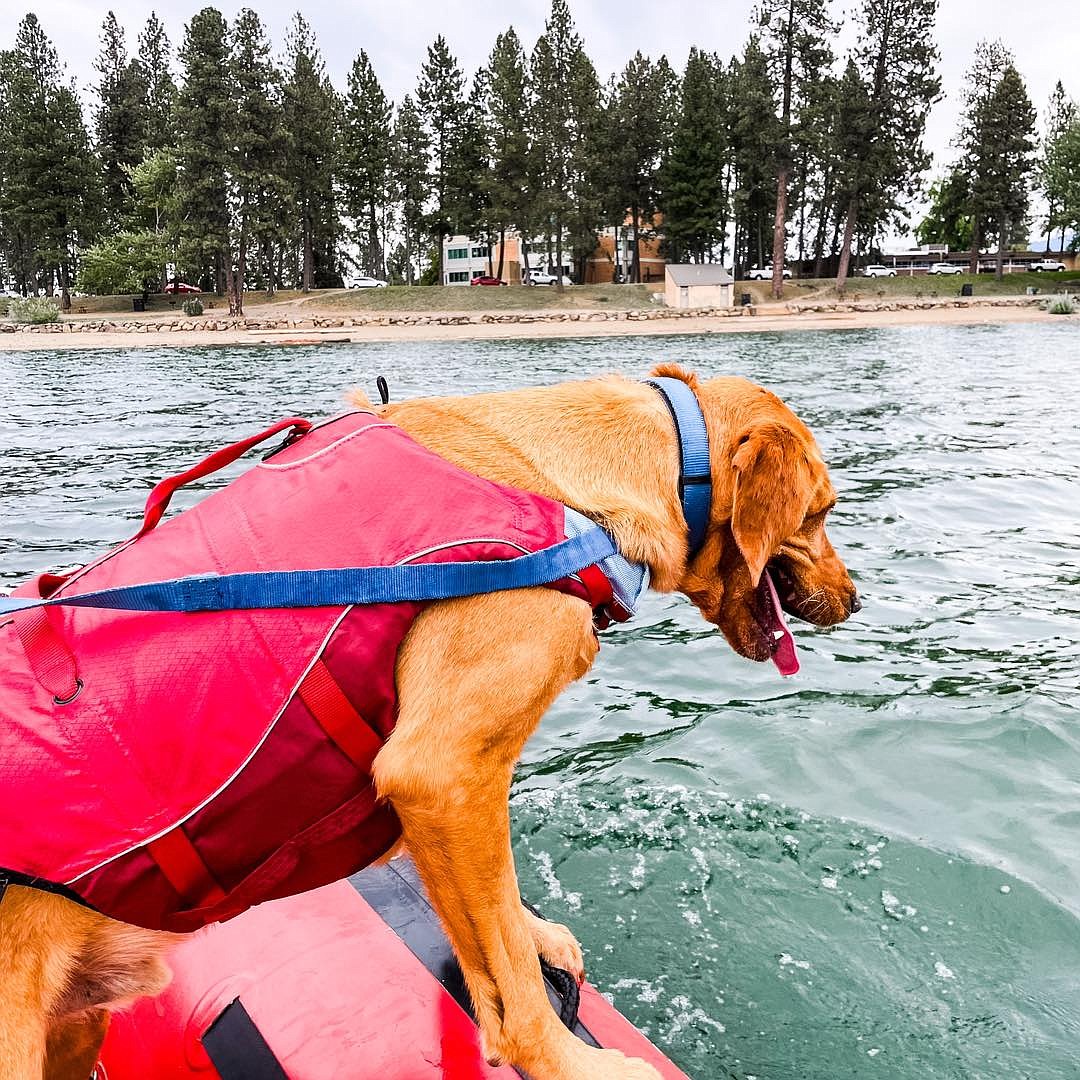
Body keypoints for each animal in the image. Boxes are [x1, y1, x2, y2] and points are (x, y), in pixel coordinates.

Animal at [0, 365, 859, 1080]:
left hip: (76, 1026)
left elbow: (496, 921)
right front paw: (573, 1065)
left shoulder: (436, 785)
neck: (572, 483)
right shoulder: (442, 770)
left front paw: (534, 936)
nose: (856, 601)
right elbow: (511, 988)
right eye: (821, 512)